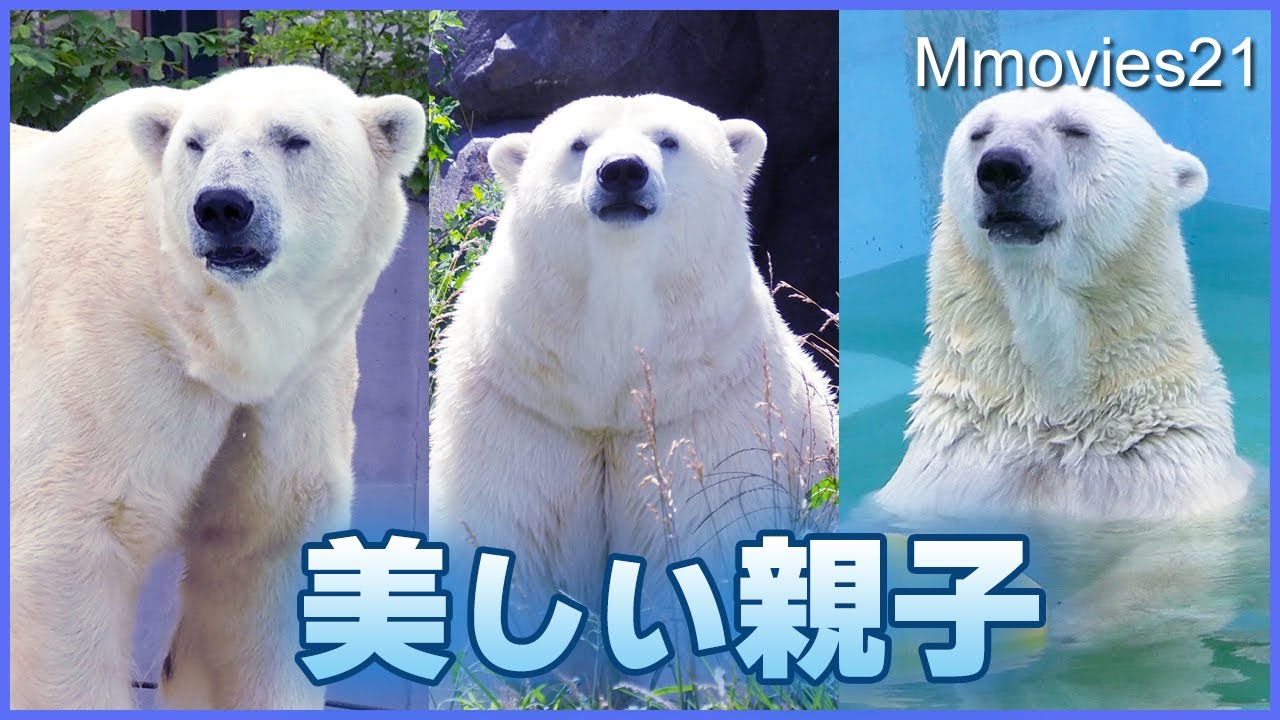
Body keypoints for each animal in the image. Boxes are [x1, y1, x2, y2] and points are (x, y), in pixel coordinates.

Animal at [8, 66, 425, 709]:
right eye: (194, 143)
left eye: (293, 138)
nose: (222, 206)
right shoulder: (110, 355)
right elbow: (71, 540)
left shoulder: (295, 389)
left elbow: (258, 556)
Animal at [428, 94, 838, 649]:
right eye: (578, 144)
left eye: (669, 139)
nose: (622, 171)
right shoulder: (520, 409)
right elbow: (508, 537)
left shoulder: (706, 415)